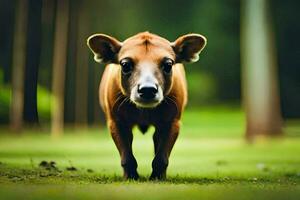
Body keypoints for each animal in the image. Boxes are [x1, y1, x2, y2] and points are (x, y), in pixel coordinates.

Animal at [86, 32, 206, 180]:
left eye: (168, 64)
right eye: (125, 64)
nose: (147, 89)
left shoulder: (172, 122)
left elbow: (161, 158)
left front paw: (157, 177)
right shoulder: (116, 121)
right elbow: (127, 157)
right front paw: (130, 176)